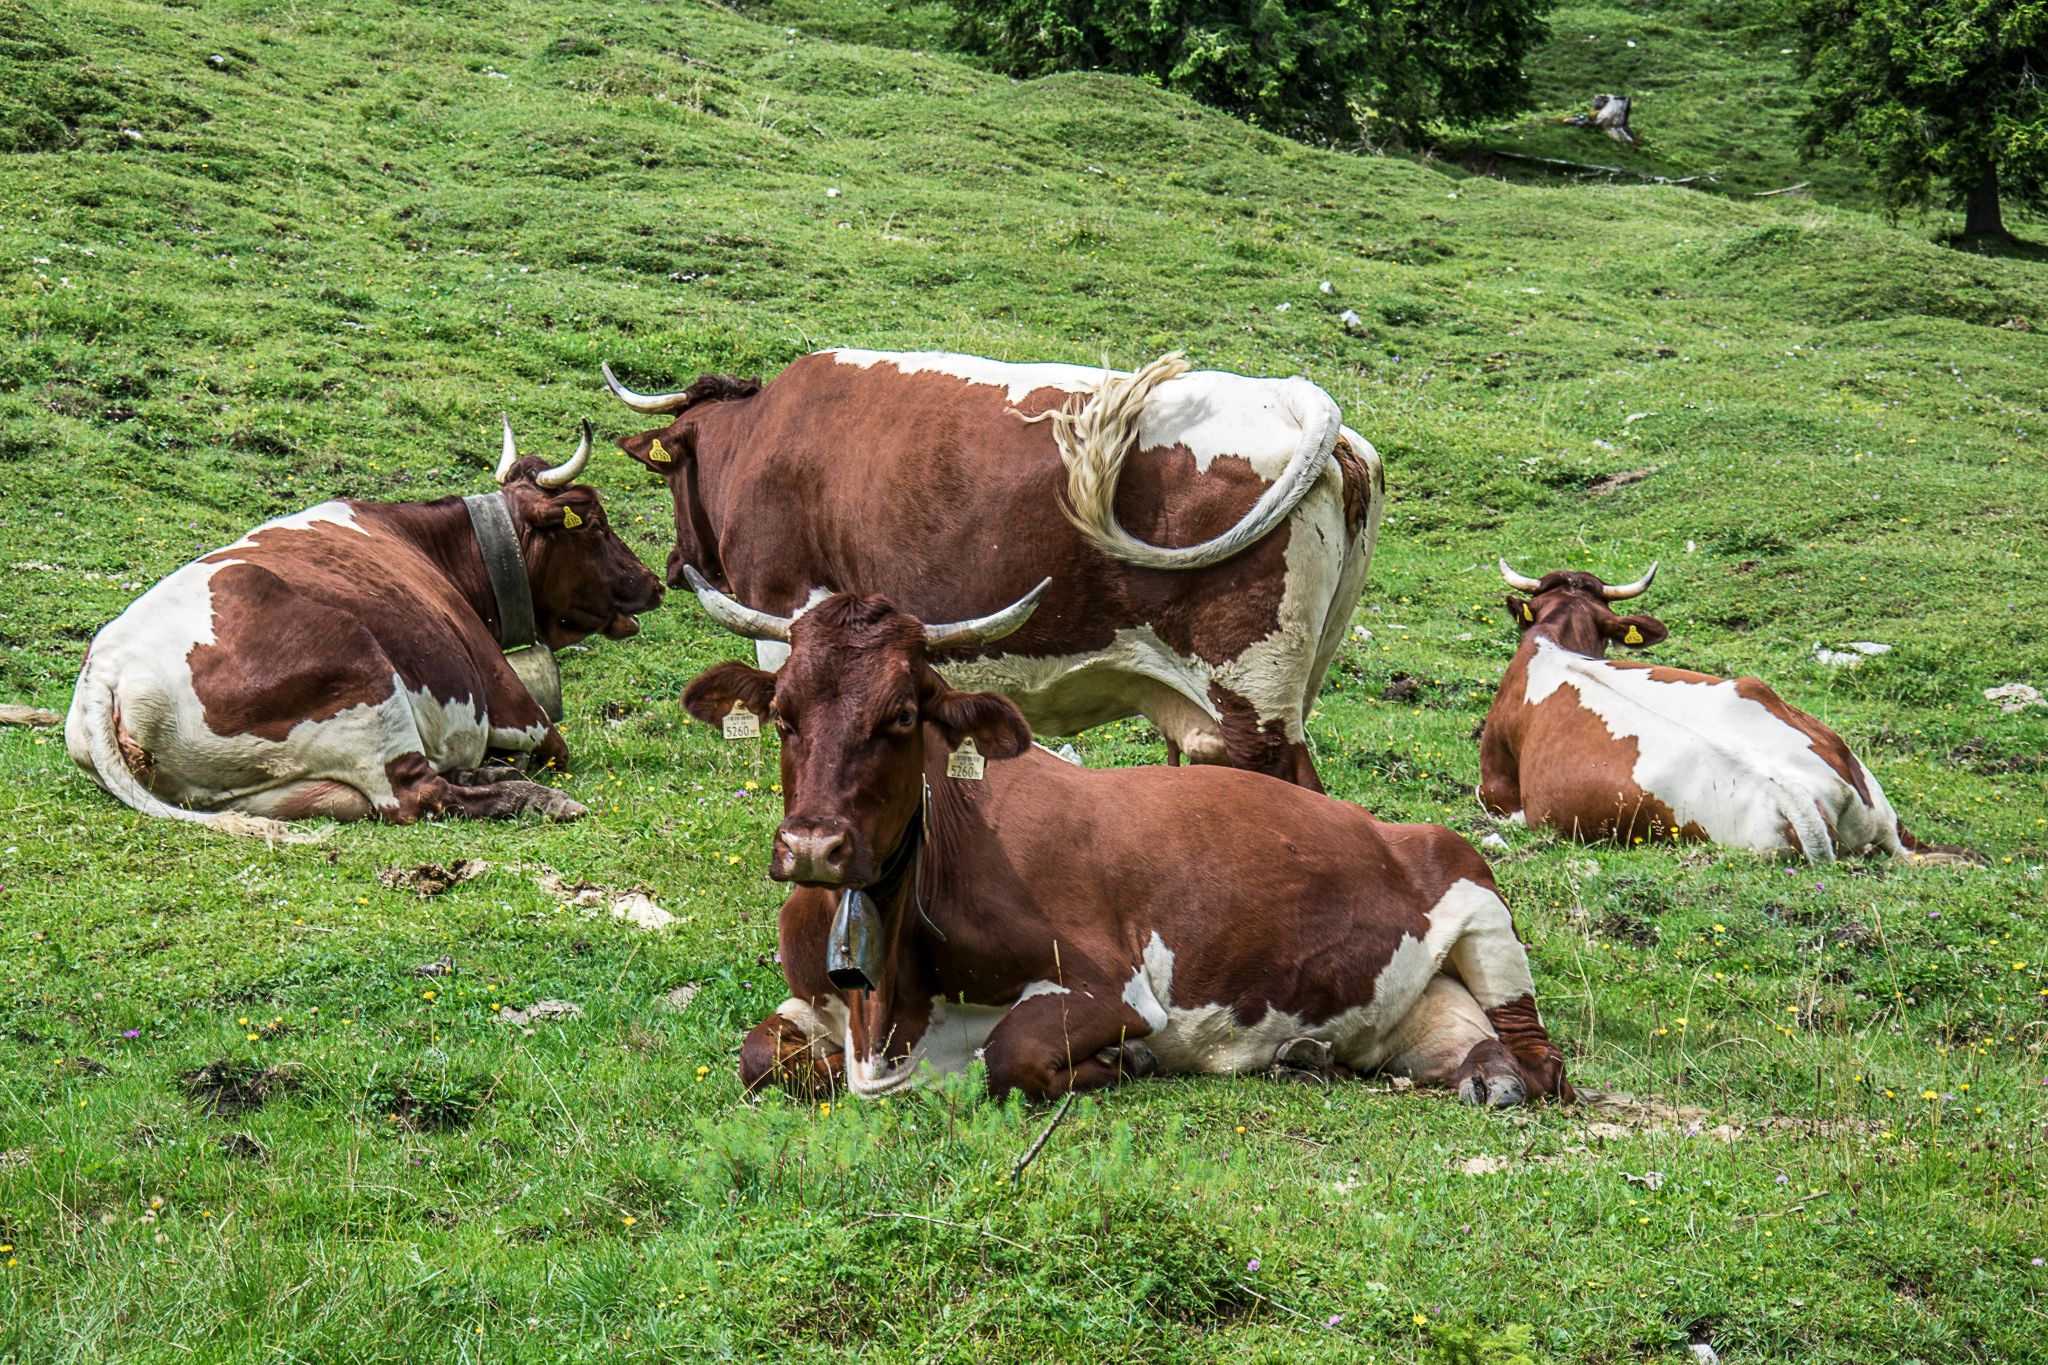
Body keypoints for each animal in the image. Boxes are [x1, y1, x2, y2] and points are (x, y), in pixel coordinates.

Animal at [66, 419, 664, 839]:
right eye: (595, 524)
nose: (654, 582)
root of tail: (107, 670)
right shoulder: (513, 702)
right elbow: (556, 747)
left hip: (269, 791)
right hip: (365, 678)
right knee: (419, 795)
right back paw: (533, 797)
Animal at [603, 348, 1385, 790]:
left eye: (668, 476)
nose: (671, 565)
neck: (762, 434)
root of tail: (1294, 399)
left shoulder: (784, 608)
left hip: (1252, 696)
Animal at [678, 570, 1573, 1107]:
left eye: (902, 714)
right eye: (783, 714)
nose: (812, 848)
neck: (887, 1013)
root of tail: (1393, 826)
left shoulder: (1115, 986)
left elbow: (1009, 1056)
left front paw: (1126, 1063)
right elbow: (758, 1057)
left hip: (1480, 898)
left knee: (1539, 1059)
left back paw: (1497, 1079)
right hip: (1404, 1008)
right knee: (1449, 1039)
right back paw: (1313, 1054)